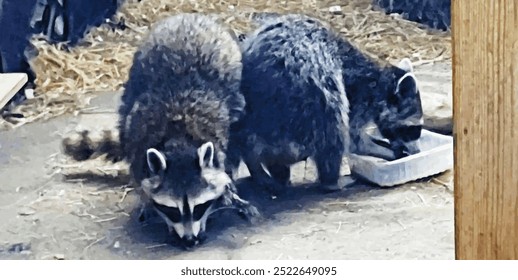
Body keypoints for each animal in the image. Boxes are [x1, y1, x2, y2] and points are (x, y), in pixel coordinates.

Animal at [62, 14, 260, 248]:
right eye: (173, 210)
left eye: (198, 207)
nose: (189, 240)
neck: (179, 141)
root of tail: (186, 16)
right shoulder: (138, 139)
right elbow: (141, 180)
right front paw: (151, 206)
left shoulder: (222, 133)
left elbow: (225, 168)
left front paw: (225, 197)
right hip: (134, 82)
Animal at [229, 14, 426, 194]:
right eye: (414, 129)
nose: (417, 152)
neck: (380, 83)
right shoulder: (358, 97)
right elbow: (355, 141)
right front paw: (387, 151)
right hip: (308, 90)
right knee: (332, 128)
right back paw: (330, 180)